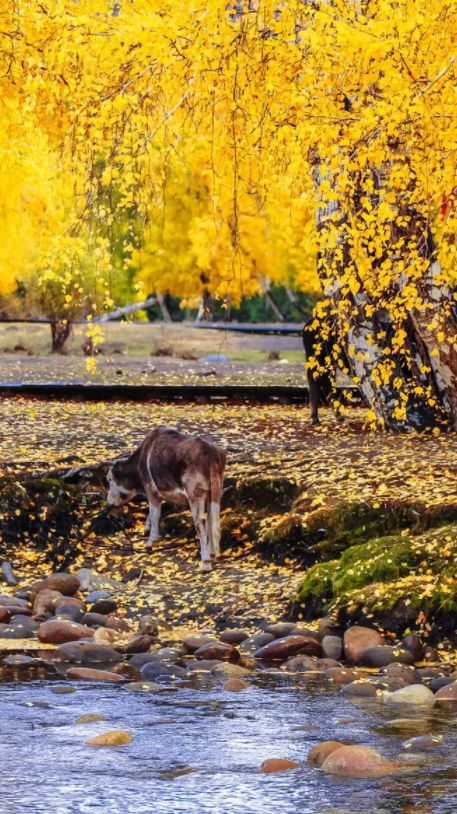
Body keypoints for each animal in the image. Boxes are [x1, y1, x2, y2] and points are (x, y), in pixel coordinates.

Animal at [105, 428, 223, 572]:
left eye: (109, 479)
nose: (108, 501)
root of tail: (209, 450)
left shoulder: (151, 489)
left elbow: (154, 514)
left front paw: (150, 542)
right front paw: (147, 529)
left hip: (195, 492)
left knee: (200, 522)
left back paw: (206, 562)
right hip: (215, 491)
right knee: (213, 519)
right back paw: (212, 555)